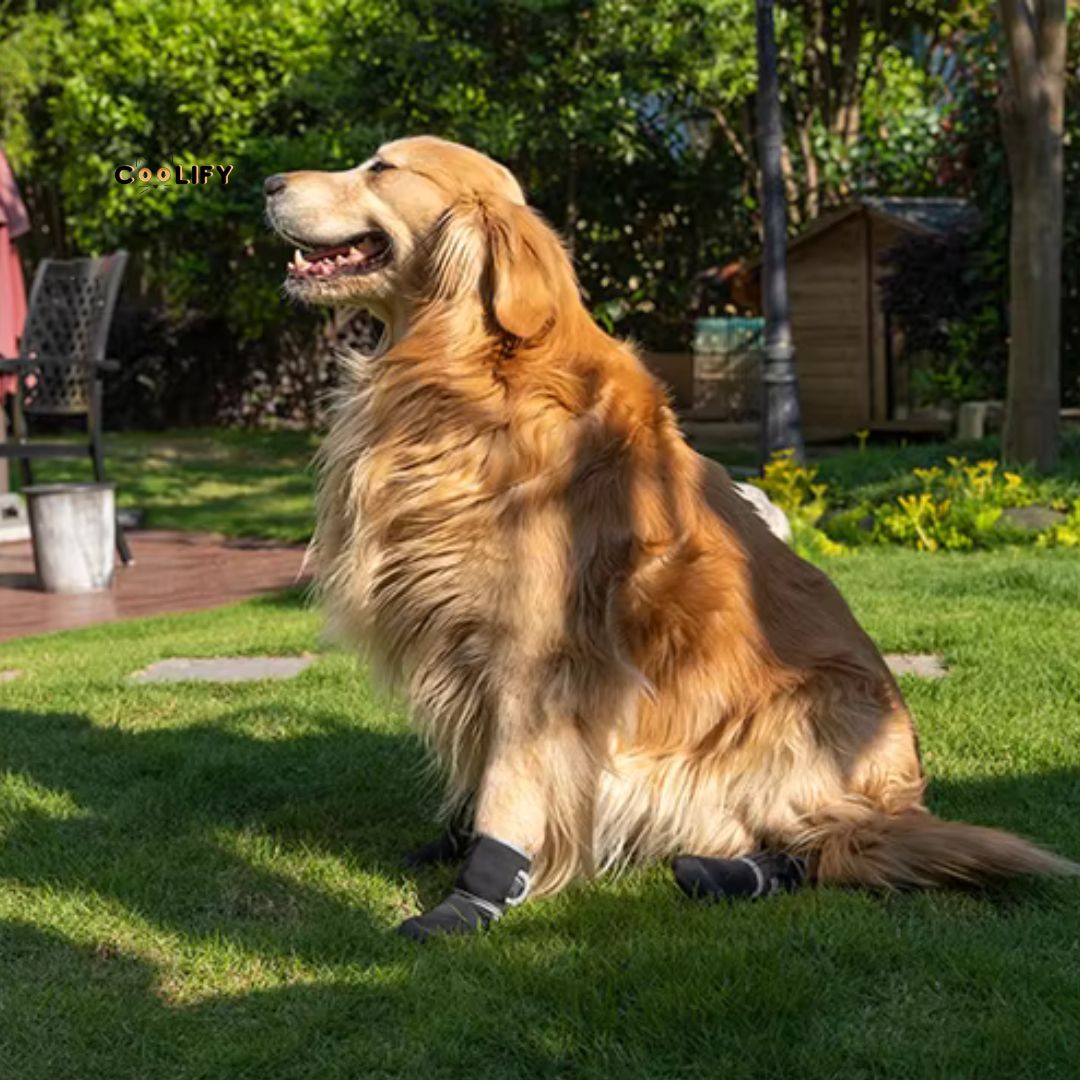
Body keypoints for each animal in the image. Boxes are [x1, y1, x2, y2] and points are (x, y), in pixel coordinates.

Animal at [265, 139, 1075, 941]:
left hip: (799, 716)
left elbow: (507, 783)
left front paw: (474, 897)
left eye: (382, 168)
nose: (268, 181)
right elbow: (479, 768)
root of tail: (902, 803)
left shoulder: (534, 652)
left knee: (821, 848)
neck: (464, 373)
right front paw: (451, 847)